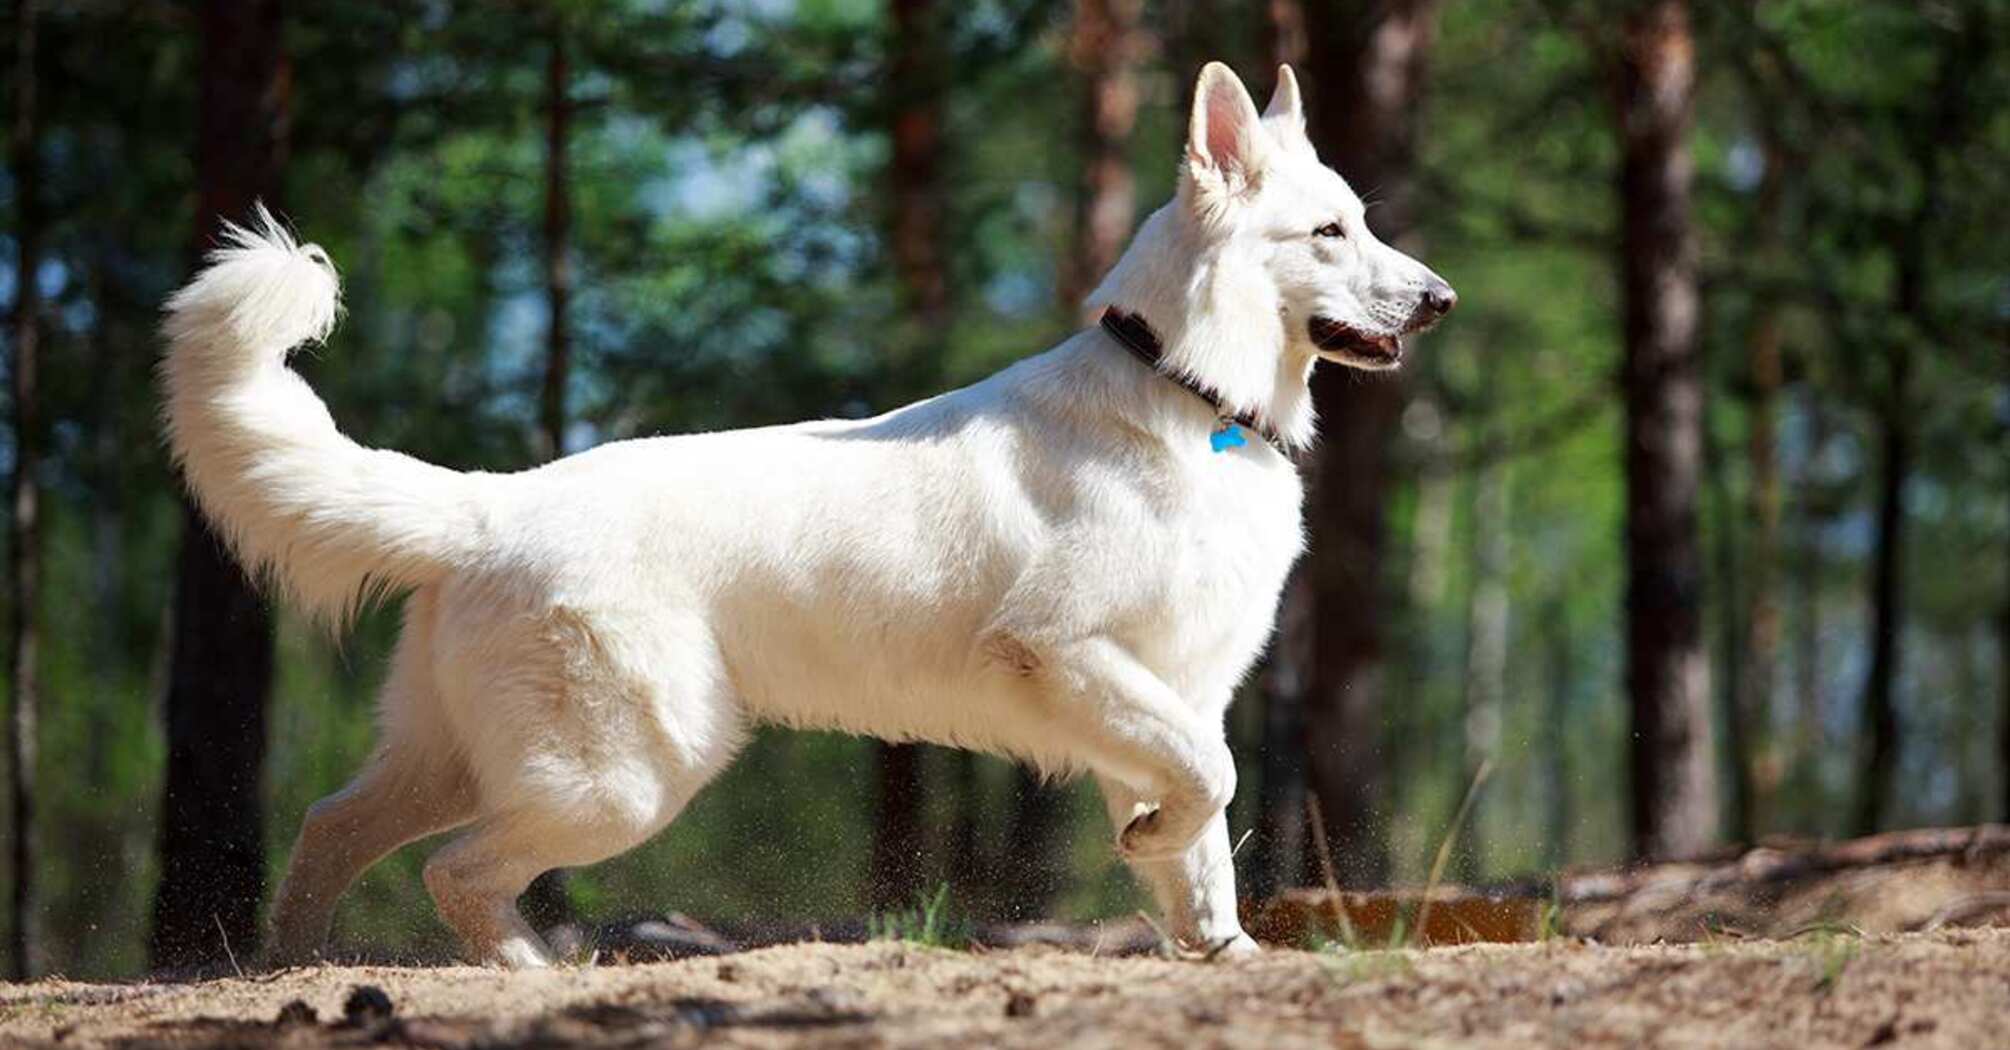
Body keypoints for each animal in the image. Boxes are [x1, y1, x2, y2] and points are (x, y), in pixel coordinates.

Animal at [156, 63, 1447, 965]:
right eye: (1330, 232)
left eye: (1363, 220)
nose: (1438, 300)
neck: (1187, 391)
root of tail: (486, 504)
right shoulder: (1071, 655)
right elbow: (1213, 783)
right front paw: (1162, 861)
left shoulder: (1172, 687)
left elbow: (1201, 835)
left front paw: (1216, 944)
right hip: (628, 776)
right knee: (455, 876)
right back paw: (526, 972)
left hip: (466, 759)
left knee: (332, 828)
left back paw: (289, 970)